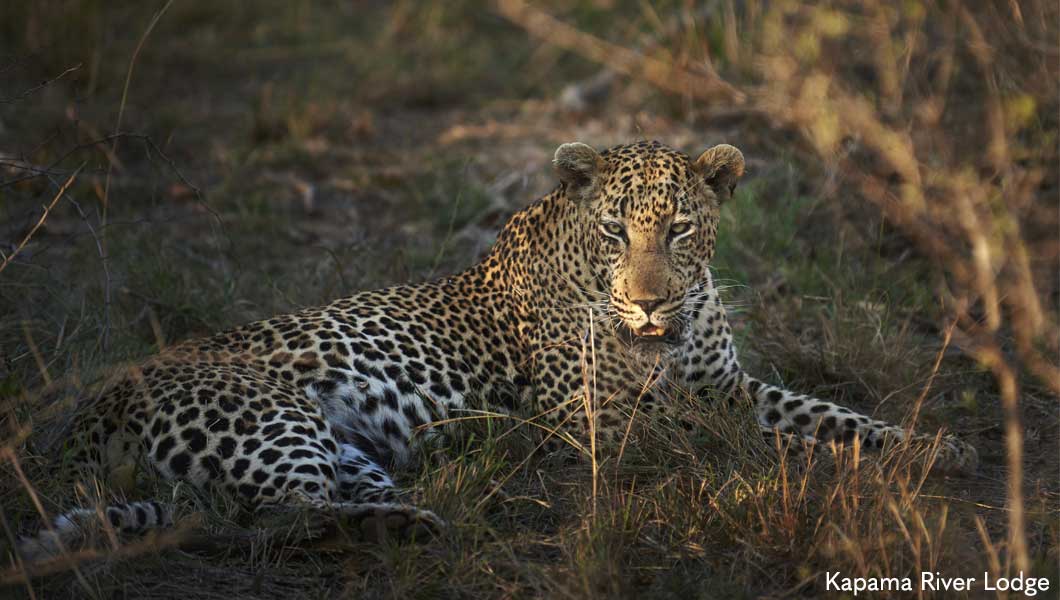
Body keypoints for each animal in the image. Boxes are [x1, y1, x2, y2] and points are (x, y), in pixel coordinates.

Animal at [14, 138, 975, 563]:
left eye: (680, 229)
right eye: (616, 232)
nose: (648, 300)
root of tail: (83, 418)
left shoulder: (724, 384)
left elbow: (823, 412)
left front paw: (927, 444)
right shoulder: (601, 422)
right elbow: (747, 442)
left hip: (344, 450)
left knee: (274, 509)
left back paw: (425, 510)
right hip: (269, 417)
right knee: (275, 518)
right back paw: (417, 522)